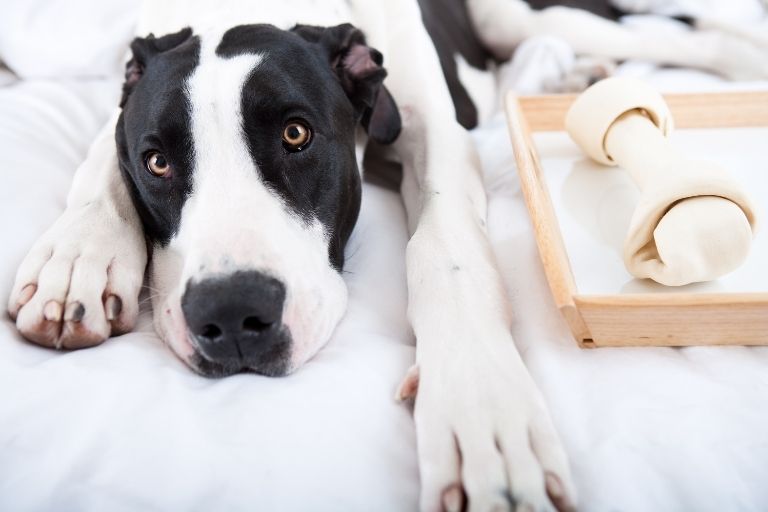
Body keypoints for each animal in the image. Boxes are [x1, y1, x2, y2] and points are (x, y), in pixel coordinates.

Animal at [7, 1, 768, 512]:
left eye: (296, 134)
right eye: (157, 161)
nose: (231, 316)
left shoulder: (435, 130)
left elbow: (447, 246)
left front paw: (479, 405)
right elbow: (99, 155)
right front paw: (76, 255)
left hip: (523, 15)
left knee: (683, 34)